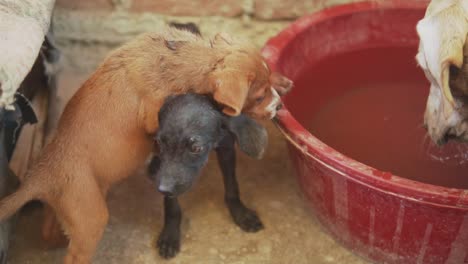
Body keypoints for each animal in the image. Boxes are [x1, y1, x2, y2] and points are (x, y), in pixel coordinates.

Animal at [150, 93, 266, 258]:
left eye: (196, 148)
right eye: (159, 143)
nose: (162, 189)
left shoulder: (227, 148)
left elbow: (232, 185)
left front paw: (241, 213)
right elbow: (171, 204)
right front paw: (170, 234)